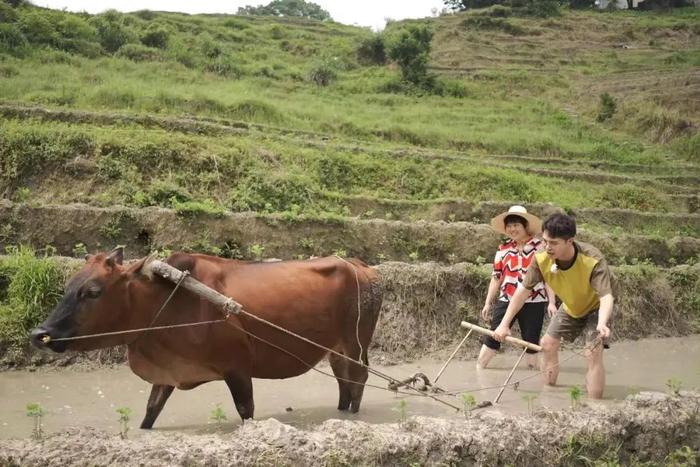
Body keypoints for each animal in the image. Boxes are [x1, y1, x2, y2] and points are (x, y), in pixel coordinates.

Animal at [31, 249, 382, 428]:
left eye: (93, 292)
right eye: (68, 286)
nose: (39, 334)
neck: (167, 301)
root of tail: (361, 267)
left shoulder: (237, 369)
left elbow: (245, 411)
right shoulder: (167, 374)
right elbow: (150, 412)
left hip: (356, 343)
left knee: (359, 378)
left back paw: (353, 417)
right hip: (335, 348)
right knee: (343, 380)